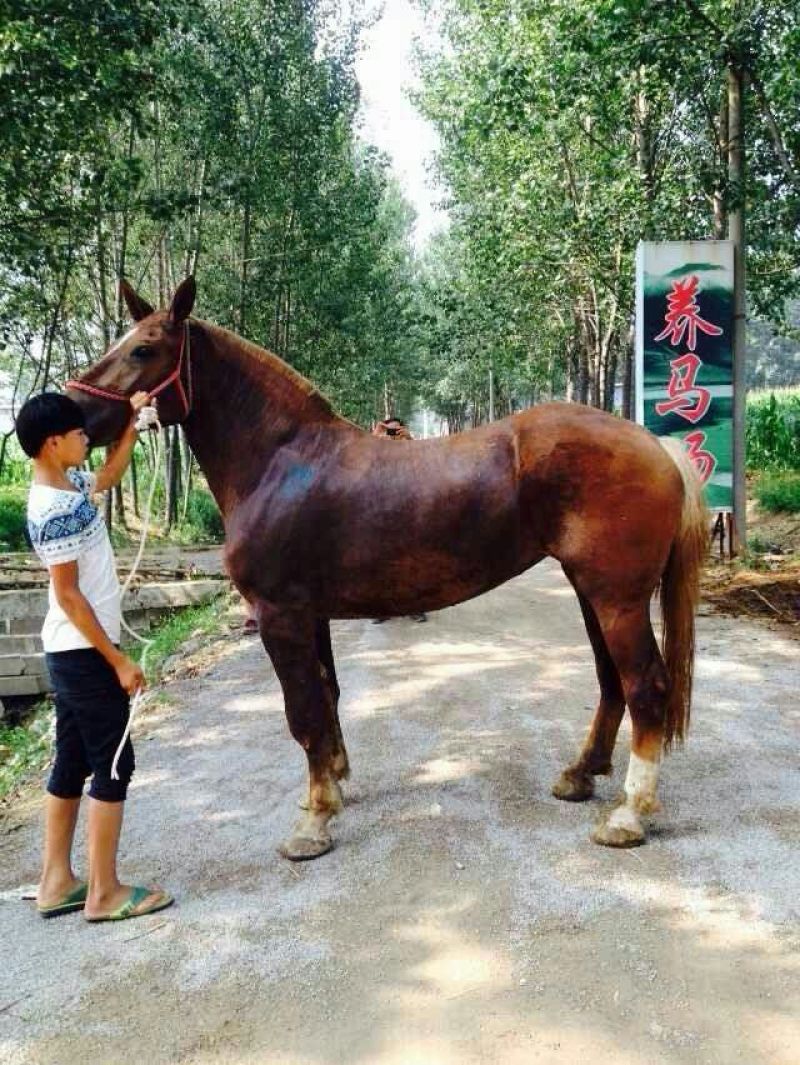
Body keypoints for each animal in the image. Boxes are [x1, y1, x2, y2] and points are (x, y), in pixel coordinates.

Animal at [67, 277, 708, 860]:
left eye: (144, 349)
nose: (71, 411)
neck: (279, 462)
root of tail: (655, 443)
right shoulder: (309, 615)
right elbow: (326, 695)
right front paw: (332, 787)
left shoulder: (279, 615)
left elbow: (303, 713)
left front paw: (313, 823)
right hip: (591, 591)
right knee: (610, 681)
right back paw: (580, 775)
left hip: (617, 597)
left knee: (645, 686)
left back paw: (629, 815)